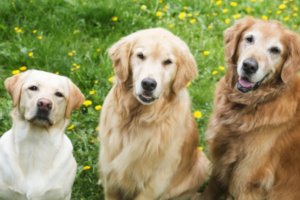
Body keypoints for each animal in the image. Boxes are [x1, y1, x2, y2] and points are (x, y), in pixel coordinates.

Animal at [98, 28, 209, 200]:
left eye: (168, 62)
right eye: (140, 55)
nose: (148, 84)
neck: (137, 118)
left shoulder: (156, 181)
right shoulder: (110, 171)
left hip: (203, 163)